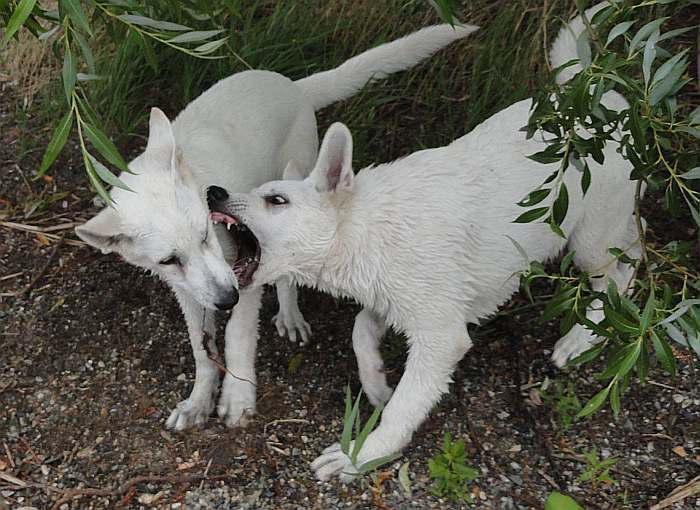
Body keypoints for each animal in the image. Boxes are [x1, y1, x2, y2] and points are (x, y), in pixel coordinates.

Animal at [76, 22, 482, 430]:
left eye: (206, 234)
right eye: (168, 260)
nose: (227, 300)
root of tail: (293, 86)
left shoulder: (244, 275)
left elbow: (237, 335)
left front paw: (237, 397)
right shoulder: (190, 291)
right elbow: (202, 349)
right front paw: (198, 401)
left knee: (288, 270)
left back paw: (289, 313)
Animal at [209, 3, 640, 480]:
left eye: (276, 200)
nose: (214, 193)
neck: (365, 226)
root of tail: (597, 97)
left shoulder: (441, 335)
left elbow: (405, 407)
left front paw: (360, 454)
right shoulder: (388, 302)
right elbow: (360, 334)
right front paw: (377, 383)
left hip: (589, 240)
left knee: (620, 273)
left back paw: (579, 340)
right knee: (634, 253)